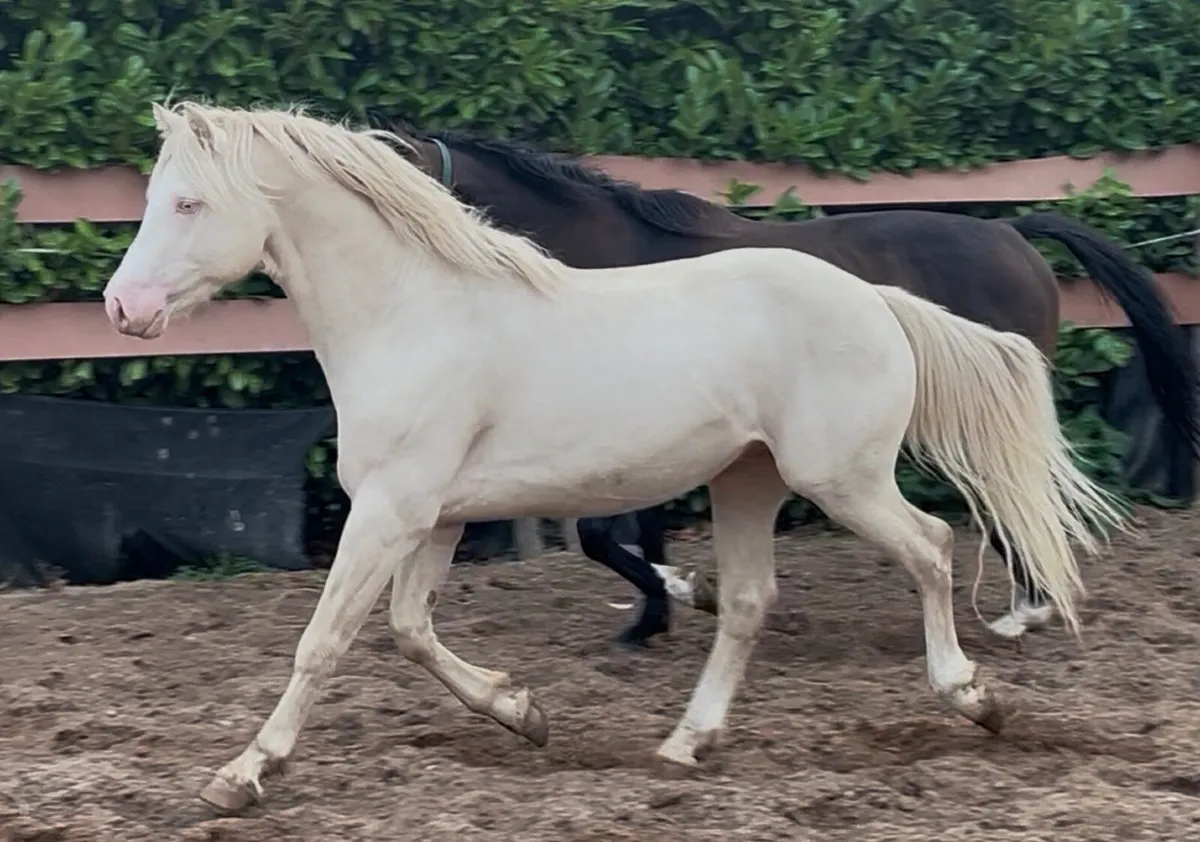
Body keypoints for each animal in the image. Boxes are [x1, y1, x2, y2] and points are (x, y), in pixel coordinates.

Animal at [378, 122, 1200, 645]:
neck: (604, 259)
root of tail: (1011, 231)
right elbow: (626, 536)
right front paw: (653, 618)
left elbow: (602, 536)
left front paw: (686, 595)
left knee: (1013, 495)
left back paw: (1028, 610)